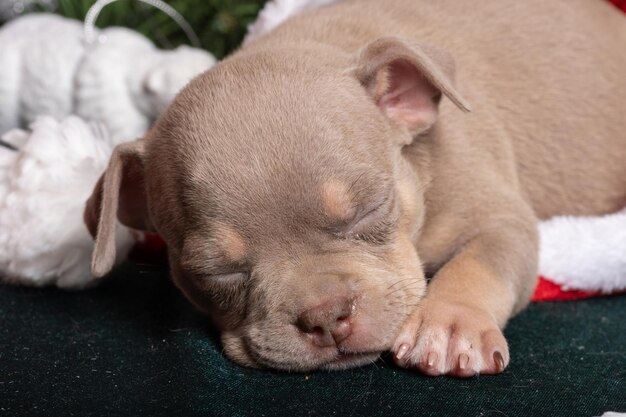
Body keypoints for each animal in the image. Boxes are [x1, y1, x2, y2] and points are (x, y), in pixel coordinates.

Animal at [83, 0, 624, 376]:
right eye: (215, 273)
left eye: (370, 211)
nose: (325, 317)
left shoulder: (499, 219)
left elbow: (480, 261)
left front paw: (448, 327)